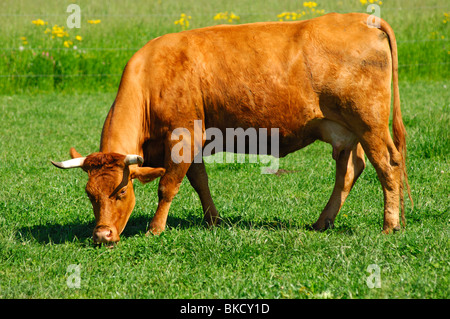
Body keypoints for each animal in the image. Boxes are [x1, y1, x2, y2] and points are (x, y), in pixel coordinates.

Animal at [52, 12, 412, 245]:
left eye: (122, 192)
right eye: (89, 195)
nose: (102, 235)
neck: (151, 76)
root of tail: (362, 18)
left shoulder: (183, 136)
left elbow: (168, 186)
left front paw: (155, 228)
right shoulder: (193, 142)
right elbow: (199, 181)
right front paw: (212, 220)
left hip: (369, 123)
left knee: (387, 164)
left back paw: (389, 225)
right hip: (345, 130)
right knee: (350, 170)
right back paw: (324, 221)